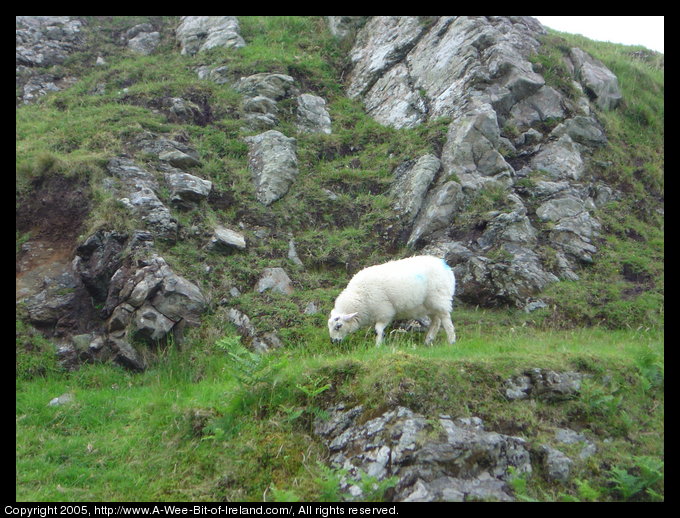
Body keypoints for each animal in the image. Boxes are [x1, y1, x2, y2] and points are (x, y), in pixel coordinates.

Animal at [328, 255, 456, 346]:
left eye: (338, 326)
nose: (333, 341)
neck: (359, 296)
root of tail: (445, 266)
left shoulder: (384, 312)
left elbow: (378, 330)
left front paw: (378, 345)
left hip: (439, 298)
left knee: (445, 318)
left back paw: (451, 341)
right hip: (428, 305)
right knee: (436, 321)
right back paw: (428, 341)